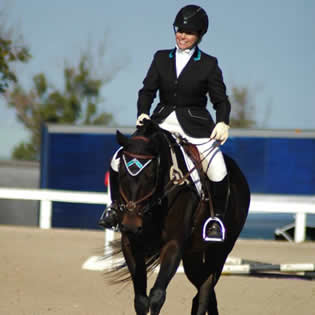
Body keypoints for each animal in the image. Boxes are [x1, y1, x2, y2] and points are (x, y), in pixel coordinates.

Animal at [107, 121, 251, 315]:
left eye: (150, 175)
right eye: (120, 173)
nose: (131, 226)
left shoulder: (174, 244)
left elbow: (157, 296)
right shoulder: (130, 243)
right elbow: (141, 300)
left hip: (220, 251)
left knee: (205, 288)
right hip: (192, 254)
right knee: (203, 285)